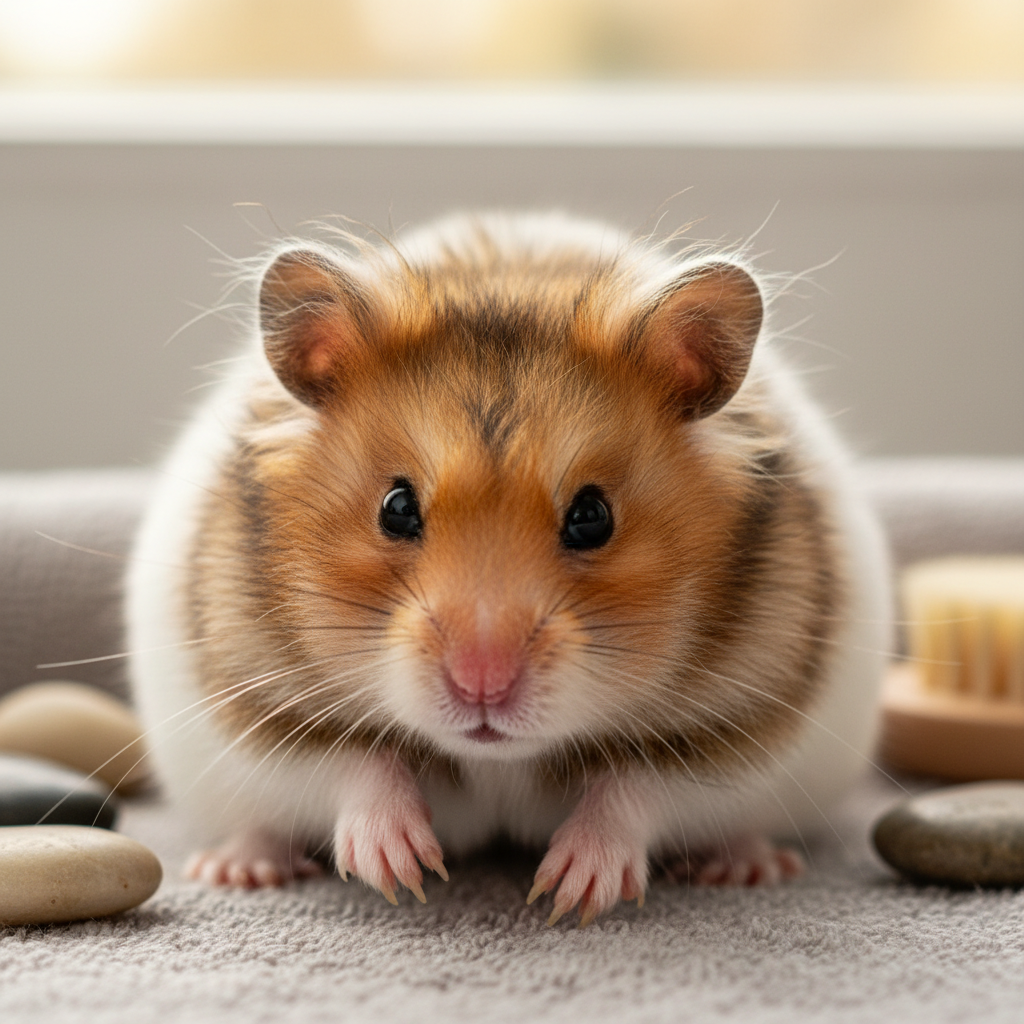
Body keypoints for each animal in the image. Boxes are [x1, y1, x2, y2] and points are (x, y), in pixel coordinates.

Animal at [126, 211, 891, 925]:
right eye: (396, 508)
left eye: (592, 516)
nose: (482, 684)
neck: (500, 760)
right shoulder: (258, 711)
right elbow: (352, 762)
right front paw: (402, 870)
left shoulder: (741, 730)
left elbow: (640, 785)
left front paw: (570, 892)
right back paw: (238, 870)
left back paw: (749, 868)